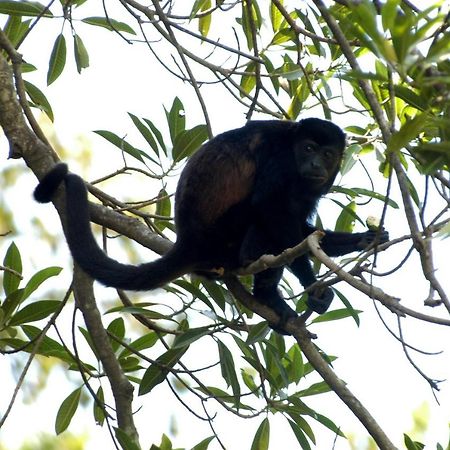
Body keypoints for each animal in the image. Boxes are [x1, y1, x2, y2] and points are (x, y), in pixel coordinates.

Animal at [34, 118, 386, 330]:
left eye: (327, 154)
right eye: (308, 148)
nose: (315, 164)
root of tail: (187, 241)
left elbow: (303, 229)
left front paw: (365, 239)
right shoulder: (282, 159)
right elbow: (271, 208)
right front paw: (311, 284)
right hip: (221, 235)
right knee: (258, 217)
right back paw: (267, 293)